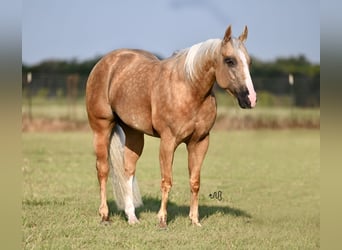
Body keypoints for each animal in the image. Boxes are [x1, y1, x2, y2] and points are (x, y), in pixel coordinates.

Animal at [85, 25, 256, 229]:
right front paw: (162, 220)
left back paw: (132, 217)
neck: (189, 89)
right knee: (103, 170)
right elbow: (167, 181)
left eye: (249, 61)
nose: (250, 99)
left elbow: (195, 181)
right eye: (229, 60)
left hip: (134, 133)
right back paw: (104, 215)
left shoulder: (200, 142)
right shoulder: (168, 141)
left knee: (128, 170)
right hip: (101, 128)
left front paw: (195, 221)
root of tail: (105, 63)